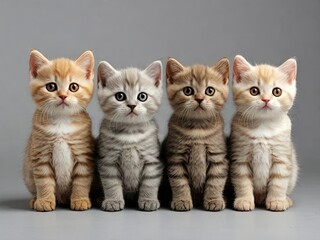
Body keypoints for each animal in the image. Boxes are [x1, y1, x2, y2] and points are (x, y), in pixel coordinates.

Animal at [23, 49, 95, 211]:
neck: (62, 122)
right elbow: (43, 181)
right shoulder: (41, 154)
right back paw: (34, 199)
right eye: (51, 87)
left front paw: (80, 199)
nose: (63, 96)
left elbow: (81, 180)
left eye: (73, 87)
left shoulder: (83, 154)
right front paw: (44, 200)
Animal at [97, 60, 162, 212]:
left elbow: (150, 182)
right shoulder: (108, 160)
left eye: (142, 96)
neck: (130, 132)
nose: (132, 105)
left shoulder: (152, 159)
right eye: (120, 96)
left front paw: (149, 200)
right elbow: (111, 183)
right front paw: (113, 201)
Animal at [165, 57, 230, 211]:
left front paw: (214, 200)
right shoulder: (176, 157)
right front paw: (181, 200)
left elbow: (216, 181)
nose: (199, 98)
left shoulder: (218, 157)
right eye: (188, 90)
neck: (198, 129)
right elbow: (179, 181)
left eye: (210, 91)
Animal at [230, 55, 298, 211]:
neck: (263, 125)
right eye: (254, 91)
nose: (266, 99)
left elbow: (279, 181)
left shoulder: (282, 157)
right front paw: (244, 200)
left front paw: (277, 201)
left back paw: (286, 199)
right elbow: (242, 181)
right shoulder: (240, 156)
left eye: (277, 91)